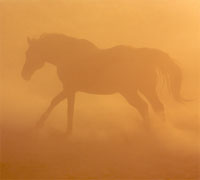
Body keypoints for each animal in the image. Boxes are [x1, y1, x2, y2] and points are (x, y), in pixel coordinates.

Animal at [20, 33, 184, 134]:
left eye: (29, 53)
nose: (24, 74)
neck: (67, 55)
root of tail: (144, 56)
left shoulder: (69, 88)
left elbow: (57, 103)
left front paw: (41, 124)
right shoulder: (71, 90)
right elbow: (68, 108)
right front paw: (67, 131)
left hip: (129, 91)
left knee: (144, 107)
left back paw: (149, 131)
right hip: (146, 90)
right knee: (157, 107)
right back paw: (160, 131)